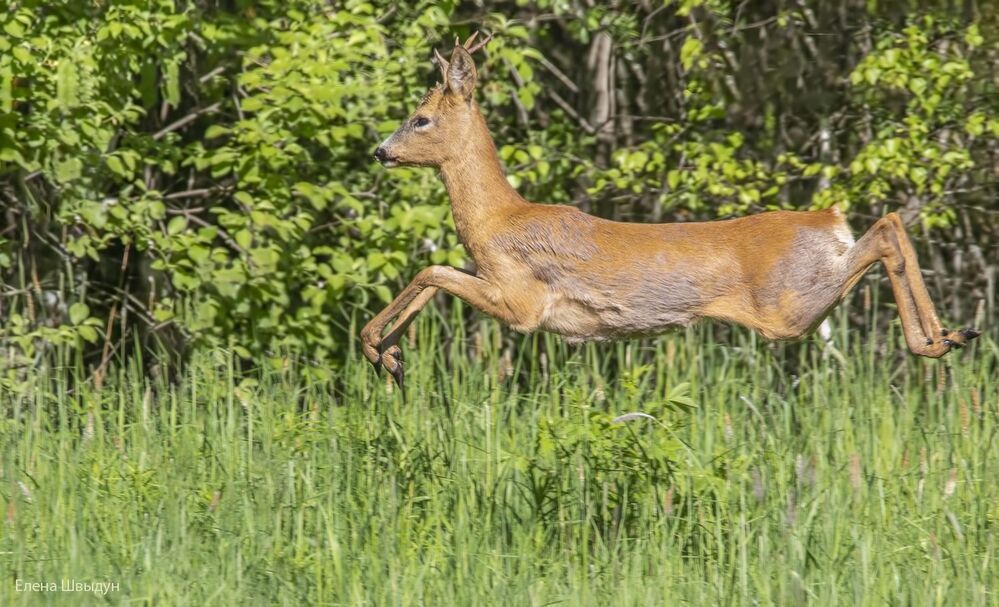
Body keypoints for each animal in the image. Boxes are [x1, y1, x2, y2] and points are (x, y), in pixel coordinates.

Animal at [362, 33, 981, 390]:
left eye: (420, 118)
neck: (498, 220)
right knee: (890, 225)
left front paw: (374, 347)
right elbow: (435, 274)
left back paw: (936, 340)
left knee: (884, 232)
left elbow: (432, 270)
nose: (380, 151)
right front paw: (391, 358)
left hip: (790, 304)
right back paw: (951, 334)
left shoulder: (521, 301)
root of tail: (828, 219)